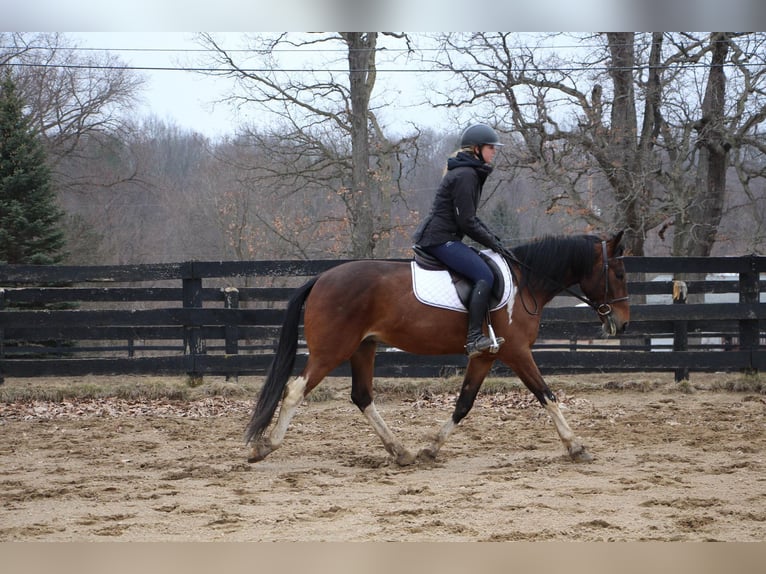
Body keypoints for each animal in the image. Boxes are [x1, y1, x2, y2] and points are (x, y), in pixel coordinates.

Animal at [244, 231, 632, 468]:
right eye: (621, 274)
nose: (624, 323)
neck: (526, 283)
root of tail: (321, 278)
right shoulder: (517, 353)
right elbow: (547, 396)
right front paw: (576, 446)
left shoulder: (486, 355)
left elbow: (464, 404)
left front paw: (431, 448)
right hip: (331, 351)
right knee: (295, 391)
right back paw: (265, 446)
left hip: (363, 348)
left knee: (362, 397)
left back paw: (401, 452)